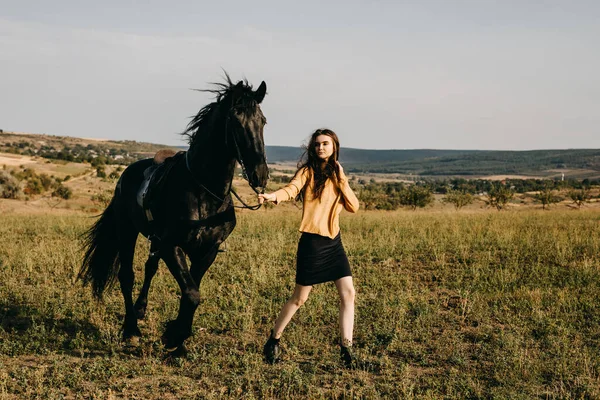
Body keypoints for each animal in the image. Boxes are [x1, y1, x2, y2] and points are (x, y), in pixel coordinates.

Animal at [78, 76, 268, 352]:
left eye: (262, 121)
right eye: (235, 120)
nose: (260, 175)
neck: (204, 193)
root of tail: (126, 175)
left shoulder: (207, 250)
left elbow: (192, 290)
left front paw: (177, 338)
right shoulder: (172, 246)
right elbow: (191, 294)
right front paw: (174, 336)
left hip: (153, 241)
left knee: (149, 268)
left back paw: (140, 310)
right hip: (127, 231)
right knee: (127, 276)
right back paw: (131, 329)